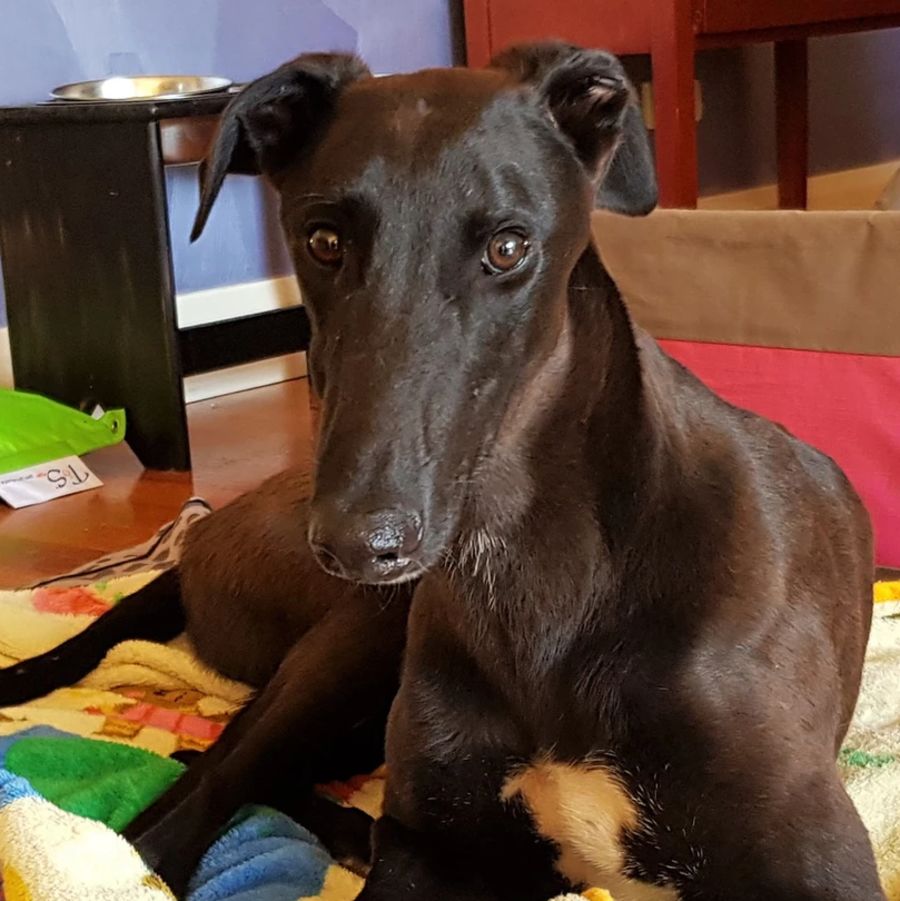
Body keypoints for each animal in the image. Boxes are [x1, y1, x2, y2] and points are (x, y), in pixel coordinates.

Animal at [0, 42, 883, 900]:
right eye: (324, 240)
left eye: (508, 247)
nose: (361, 543)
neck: (540, 568)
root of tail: (208, 531)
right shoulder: (430, 844)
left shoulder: (815, 857)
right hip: (351, 645)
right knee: (171, 817)